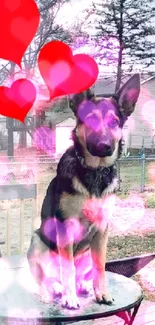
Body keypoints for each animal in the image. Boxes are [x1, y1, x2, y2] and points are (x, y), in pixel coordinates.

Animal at [27, 74, 140, 308]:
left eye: (114, 122)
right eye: (91, 120)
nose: (105, 146)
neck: (94, 171)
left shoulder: (102, 229)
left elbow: (100, 267)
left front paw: (102, 293)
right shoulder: (65, 228)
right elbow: (67, 268)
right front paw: (70, 298)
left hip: (88, 250)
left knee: (84, 272)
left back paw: (85, 286)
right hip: (37, 242)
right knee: (46, 278)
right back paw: (50, 292)